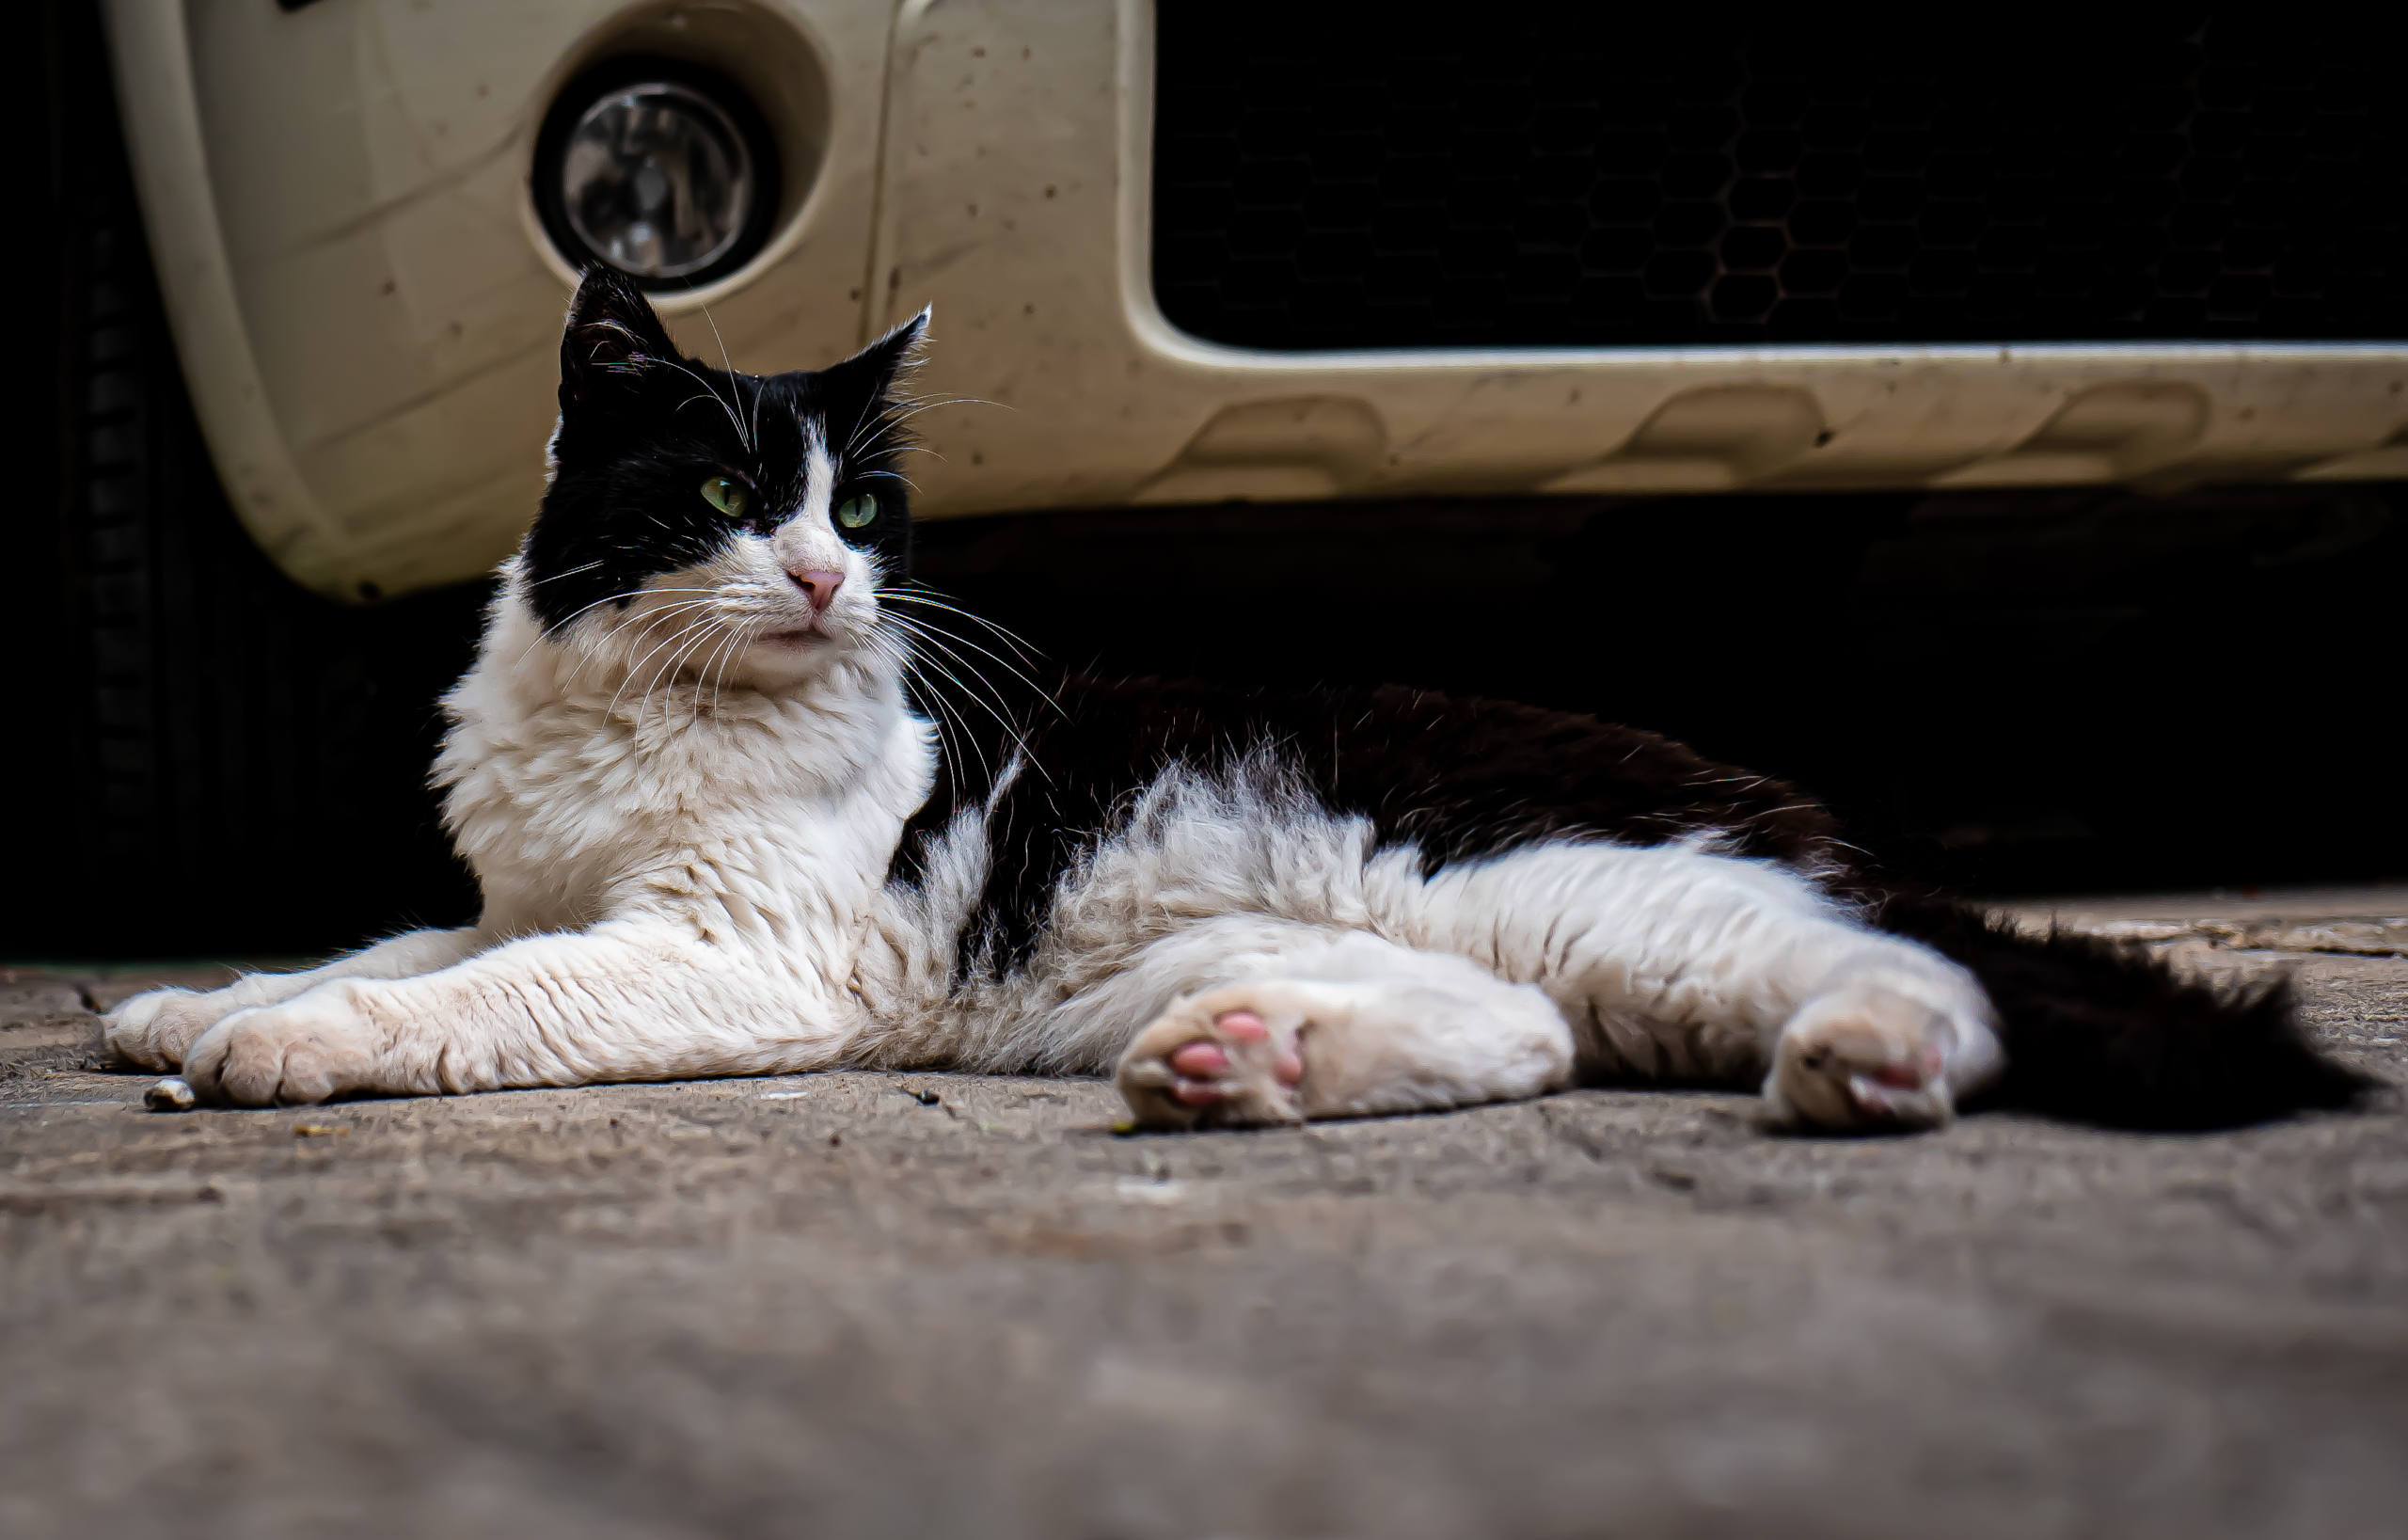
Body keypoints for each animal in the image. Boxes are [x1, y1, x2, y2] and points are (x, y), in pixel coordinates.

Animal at [103, 267, 2359, 1133]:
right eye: (738, 499)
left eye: (866, 508)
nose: (833, 579)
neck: (644, 710)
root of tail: (1778, 794)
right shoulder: (529, 888)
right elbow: (396, 937)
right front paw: (187, 1003)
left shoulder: (719, 948)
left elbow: (466, 994)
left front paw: (279, 1045)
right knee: (1531, 1040)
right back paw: (1245, 1063)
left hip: (1601, 888)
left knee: (1907, 978)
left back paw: (1869, 1060)